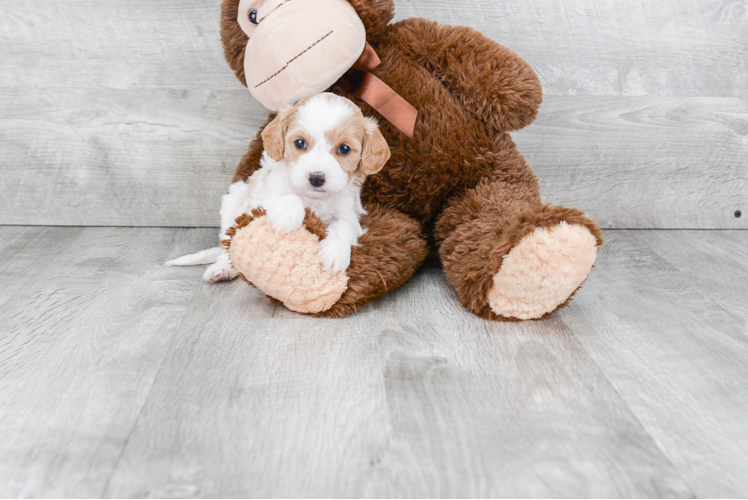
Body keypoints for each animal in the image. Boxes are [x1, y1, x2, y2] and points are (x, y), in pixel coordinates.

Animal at [168, 93, 392, 282]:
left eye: (344, 149)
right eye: (300, 143)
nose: (316, 177)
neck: (314, 199)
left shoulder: (349, 213)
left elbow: (345, 226)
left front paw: (335, 253)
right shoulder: (263, 198)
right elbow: (285, 197)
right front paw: (287, 215)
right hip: (233, 200)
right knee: (228, 243)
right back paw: (222, 268)